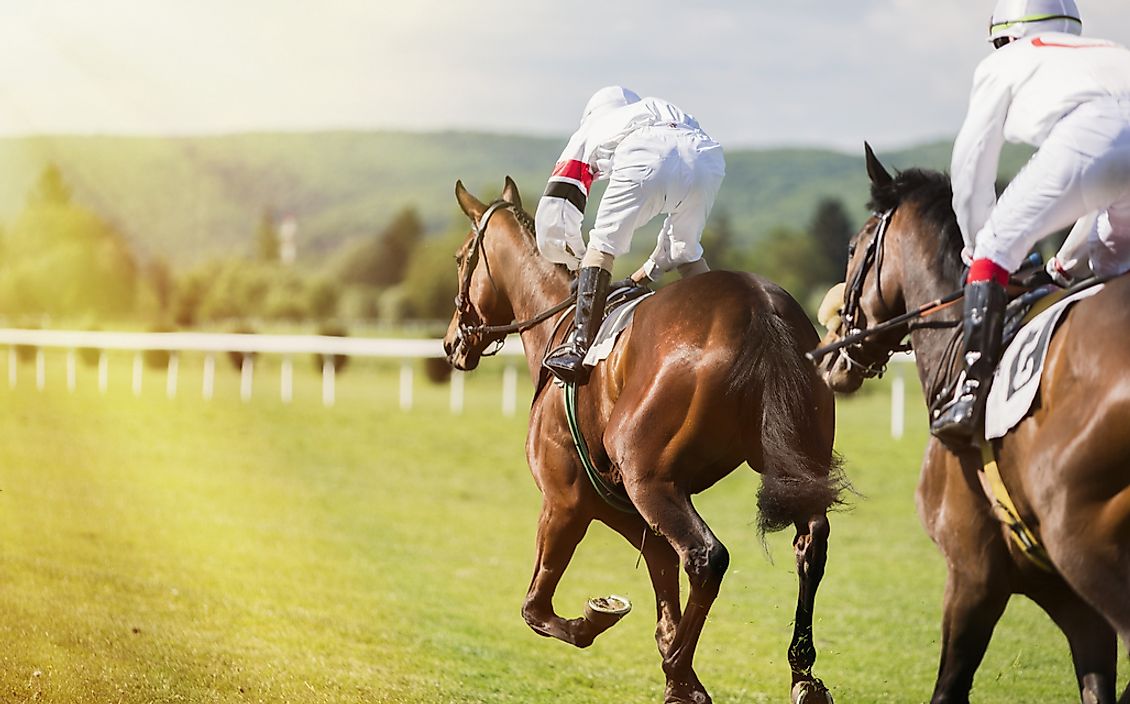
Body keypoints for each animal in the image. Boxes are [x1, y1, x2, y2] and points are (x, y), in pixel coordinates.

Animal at [445, 177, 845, 704]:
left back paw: (682, 667)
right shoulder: (623, 502)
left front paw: (602, 622)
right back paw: (802, 674)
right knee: (810, 544)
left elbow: (537, 608)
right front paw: (679, 668)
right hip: (793, 467)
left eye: (459, 258)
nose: (451, 342)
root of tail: (759, 307)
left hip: (648, 481)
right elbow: (662, 583)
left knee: (706, 557)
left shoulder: (571, 500)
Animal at [818, 146, 1130, 704]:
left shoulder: (973, 573)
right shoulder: (1073, 603)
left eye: (854, 248)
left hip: (1085, 545)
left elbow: (949, 687)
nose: (832, 350)